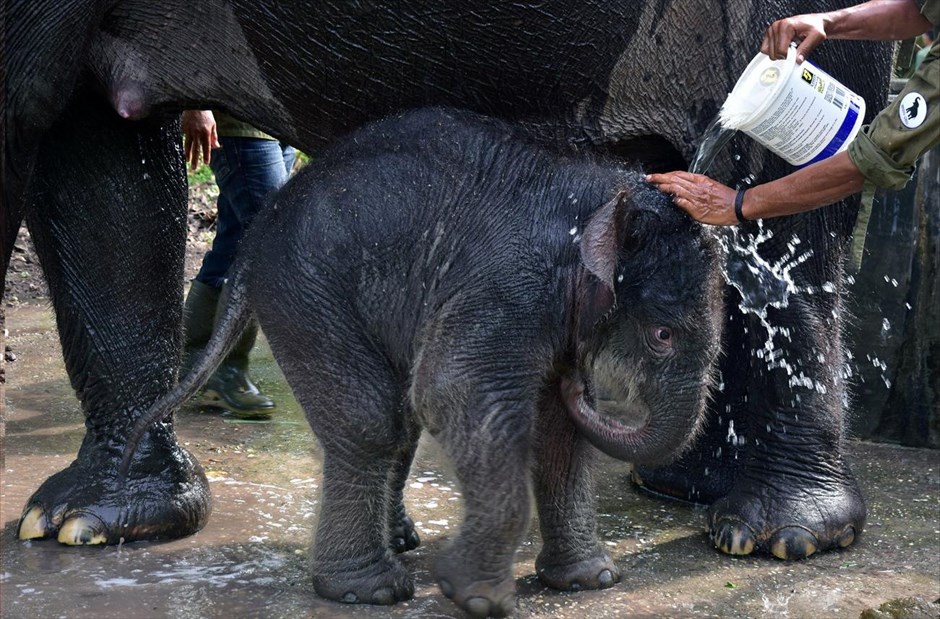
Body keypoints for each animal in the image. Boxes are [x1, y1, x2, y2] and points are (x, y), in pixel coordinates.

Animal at [128, 106, 724, 616]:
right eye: (663, 335)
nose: (582, 382)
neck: (599, 199)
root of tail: (254, 239)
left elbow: (557, 433)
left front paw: (590, 581)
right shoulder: (507, 288)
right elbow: (453, 392)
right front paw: (477, 596)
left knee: (399, 418)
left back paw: (398, 544)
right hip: (306, 292)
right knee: (372, 420)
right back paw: (369, 590)